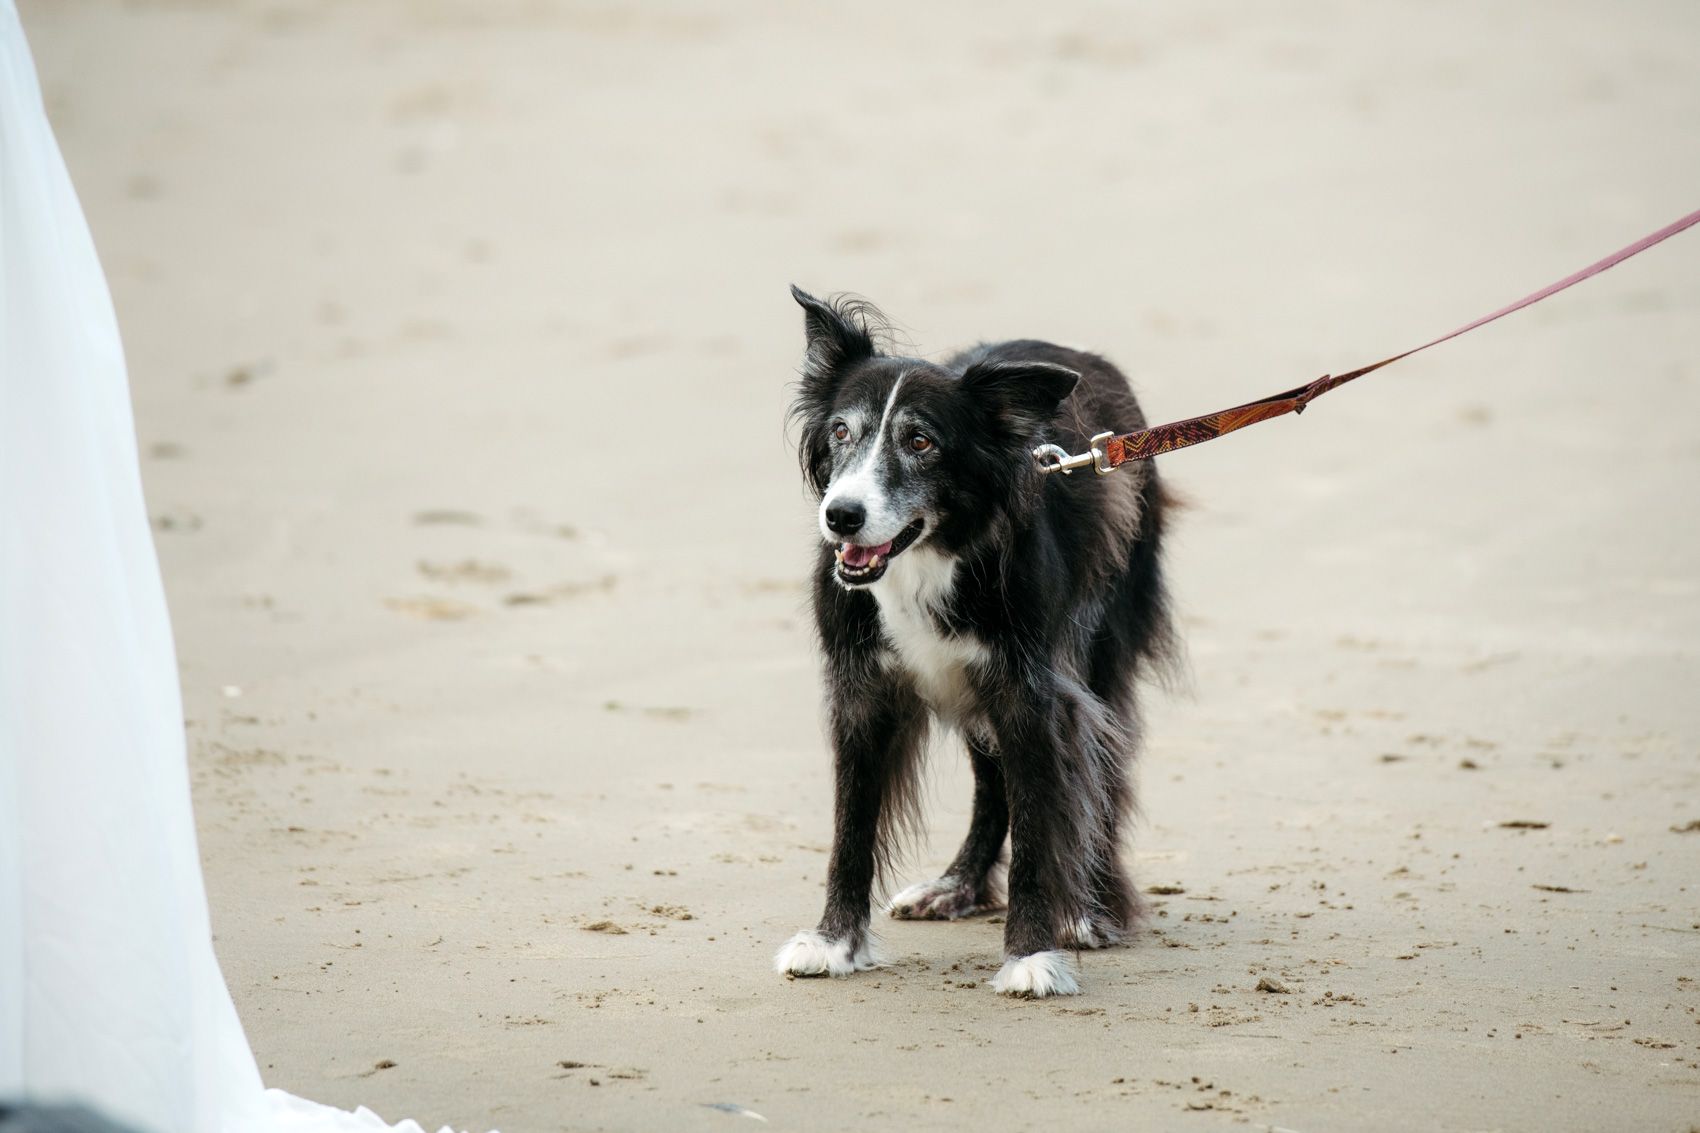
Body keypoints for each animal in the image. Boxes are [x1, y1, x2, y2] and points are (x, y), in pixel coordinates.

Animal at [778, 287, 1176, 993]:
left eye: (920, 441)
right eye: (841, 431)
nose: (841, 516)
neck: (929, 554)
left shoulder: (1032, 690)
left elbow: (1043, 823)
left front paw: (1032, 955)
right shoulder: (863, 690)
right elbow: (850, 828)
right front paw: (833, 943)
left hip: (1096, 652)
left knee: (1099, 766)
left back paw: (1091, 908)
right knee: (994, 786)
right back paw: (957, 885)